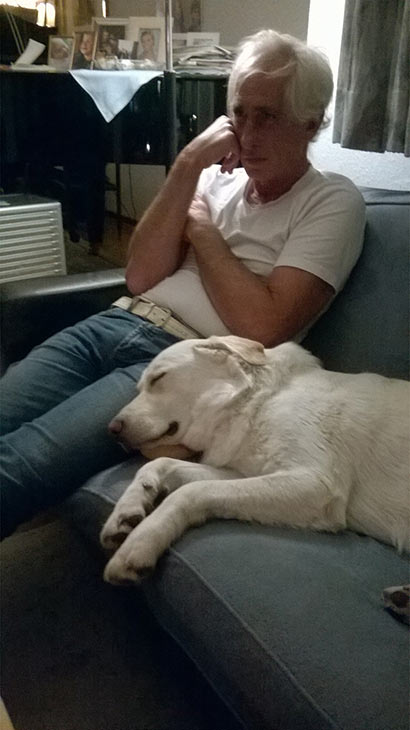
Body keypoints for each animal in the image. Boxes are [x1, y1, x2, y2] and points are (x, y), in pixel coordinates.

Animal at [101, 336, 410, 584]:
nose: (112, 429)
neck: (257, 400)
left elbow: (189, 491)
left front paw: (141, 541)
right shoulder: (242, 474)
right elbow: (159, 463)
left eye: (159, 378)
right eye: (140, 386)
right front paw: (127, 511)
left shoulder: (314, 483)